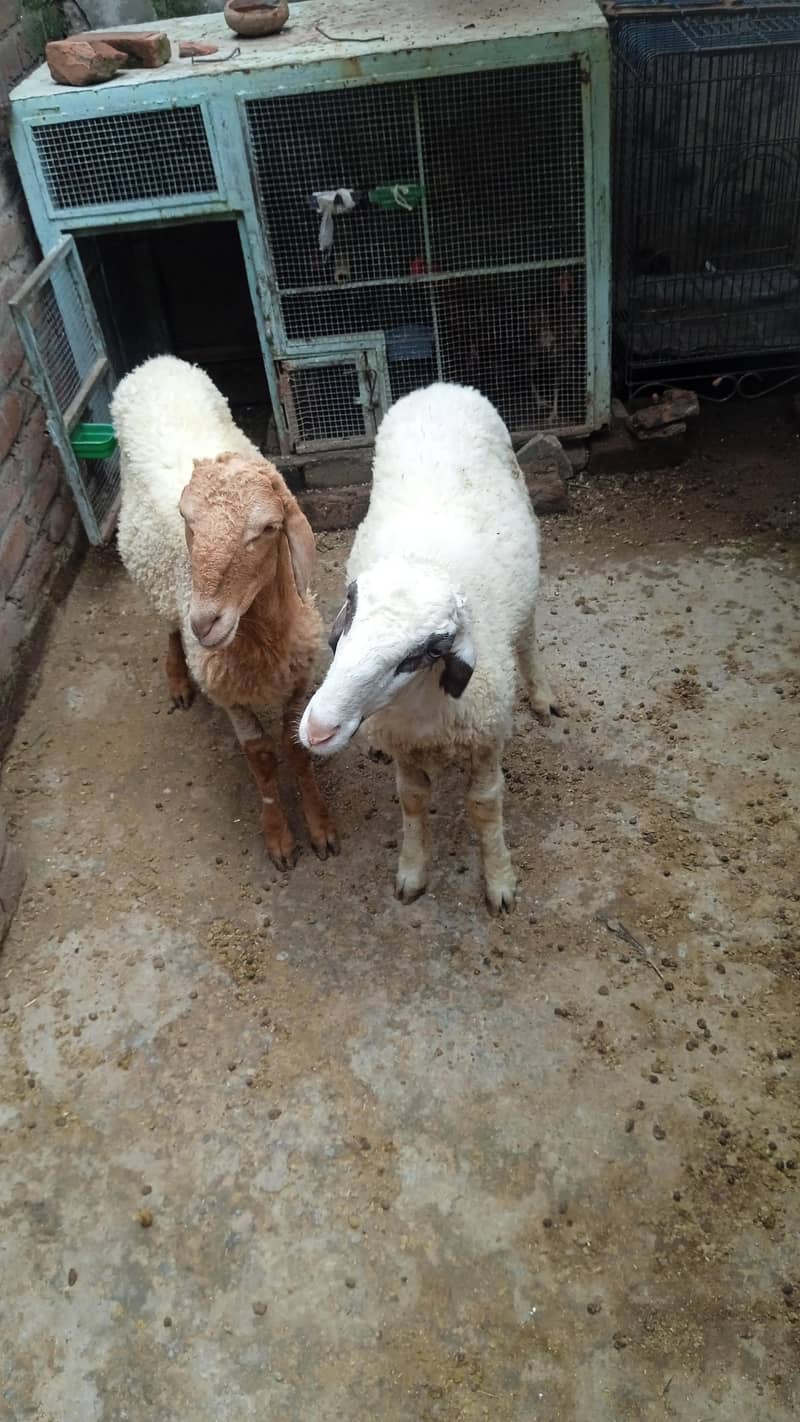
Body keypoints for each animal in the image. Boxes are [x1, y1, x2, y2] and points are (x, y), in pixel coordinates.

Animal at [112, 354, 338, 870]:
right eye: (187, 520)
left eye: (268, 528)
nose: (204, 622)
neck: (262, 642)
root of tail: (155, 363)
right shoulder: (228, 693)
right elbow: (261, 758)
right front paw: (279, 835)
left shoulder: (300, 675)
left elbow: (295, 747)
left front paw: (319, 824)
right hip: (150, 574)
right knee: (167, 627)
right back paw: (177, 677)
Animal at [297, 382, 560, 913]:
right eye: (346, 626)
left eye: (417, 657)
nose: (317, 731)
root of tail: (441, 385)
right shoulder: (404, 743)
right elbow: (413, 800)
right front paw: (413, 871)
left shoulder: (484, 739)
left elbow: (485, 808)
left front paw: (499, 880)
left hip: (528, 584)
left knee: (527, 639)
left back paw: (541, 695)